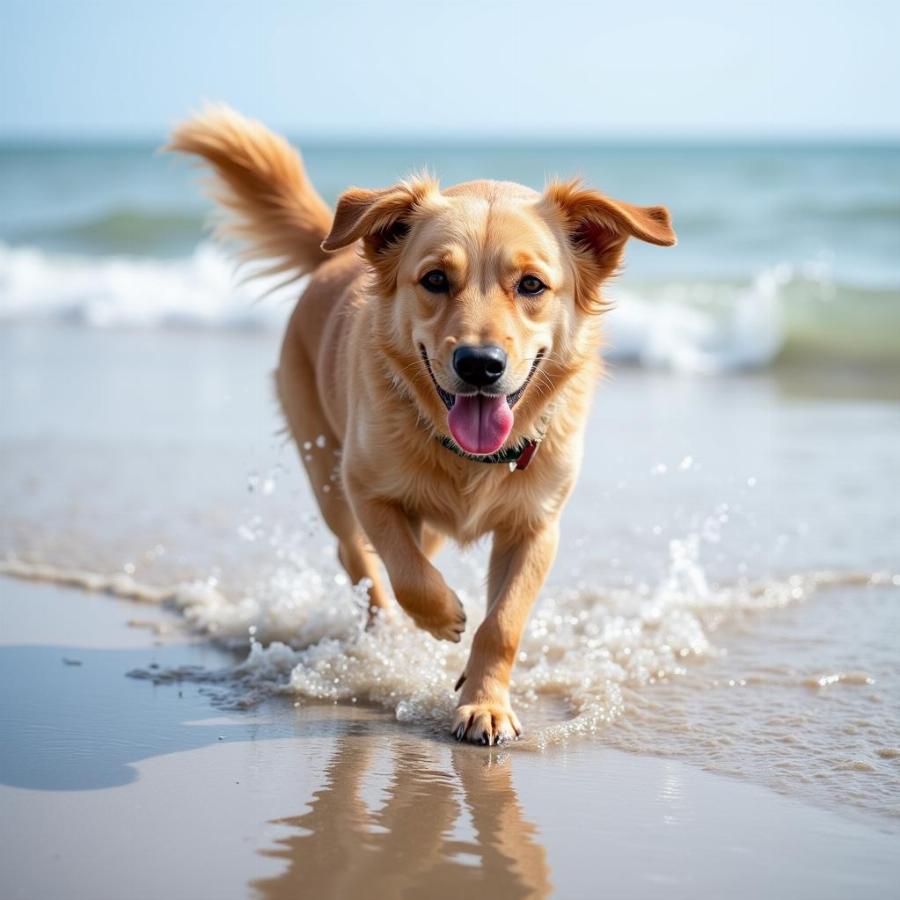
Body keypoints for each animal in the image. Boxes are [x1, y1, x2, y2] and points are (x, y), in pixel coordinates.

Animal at [169, 107, 676, 744]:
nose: (480, 365)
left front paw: (485, 703)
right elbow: (404, 570)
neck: (472, 456)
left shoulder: (537, 527)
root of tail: (333, 256)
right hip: (326, 475)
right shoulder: (367, 488)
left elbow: (503, 623)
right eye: (435, 279)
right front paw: (442, 617)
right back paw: (385, 633)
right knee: (358, 559)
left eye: (531, 285)